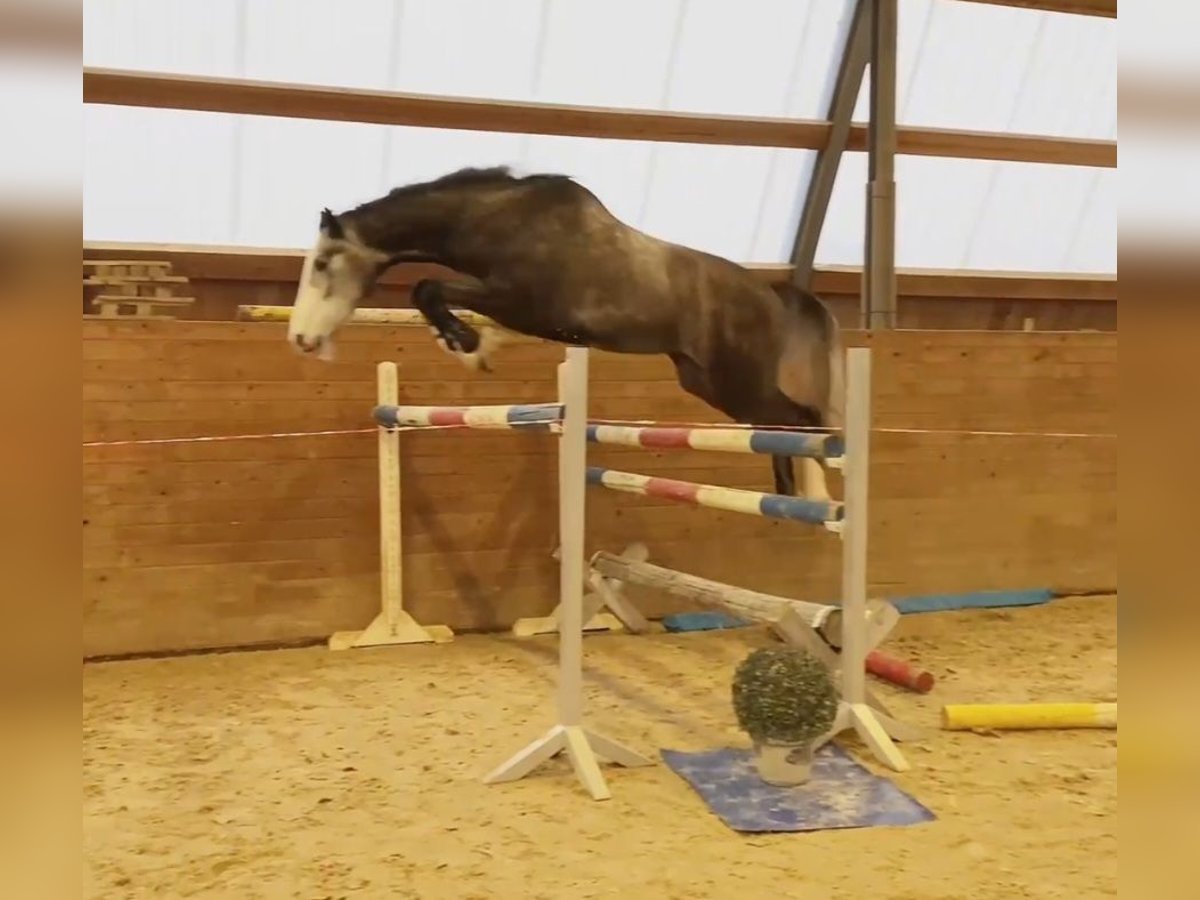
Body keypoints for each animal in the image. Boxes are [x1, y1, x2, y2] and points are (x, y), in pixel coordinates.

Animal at [283, 165, 844, 496]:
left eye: (323, 264)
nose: (300, 340)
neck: (502, 220)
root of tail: (773, 295)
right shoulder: (521, 310)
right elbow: (442, 299)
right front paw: (472, 346)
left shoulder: (520, 300)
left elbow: (427, 288)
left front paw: (466, 344)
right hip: (707, 382)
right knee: (777, 426)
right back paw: (790, 492)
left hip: (737, 381)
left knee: (801, 417)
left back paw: (822, 479)